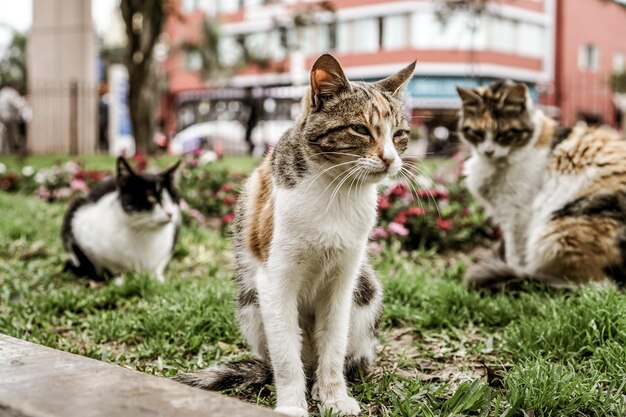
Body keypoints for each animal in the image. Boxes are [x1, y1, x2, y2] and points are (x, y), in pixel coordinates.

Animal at [174, 53, 414, 414]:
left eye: (399, 134)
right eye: (360, 129)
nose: (390, 159)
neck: (337, 191)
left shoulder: (343, 280)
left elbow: (334, 344)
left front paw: (334, 397)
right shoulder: (274, 280)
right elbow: (286, 354)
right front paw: (291, 405)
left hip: (366, 290)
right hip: (250, 302)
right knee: (285, 358)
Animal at [454, 80, 624, 290]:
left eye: (504, 134)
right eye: (477, 133)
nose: (488, 151)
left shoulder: (517, 214)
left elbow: (515, 254)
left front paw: (513, 270)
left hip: (556, 232)